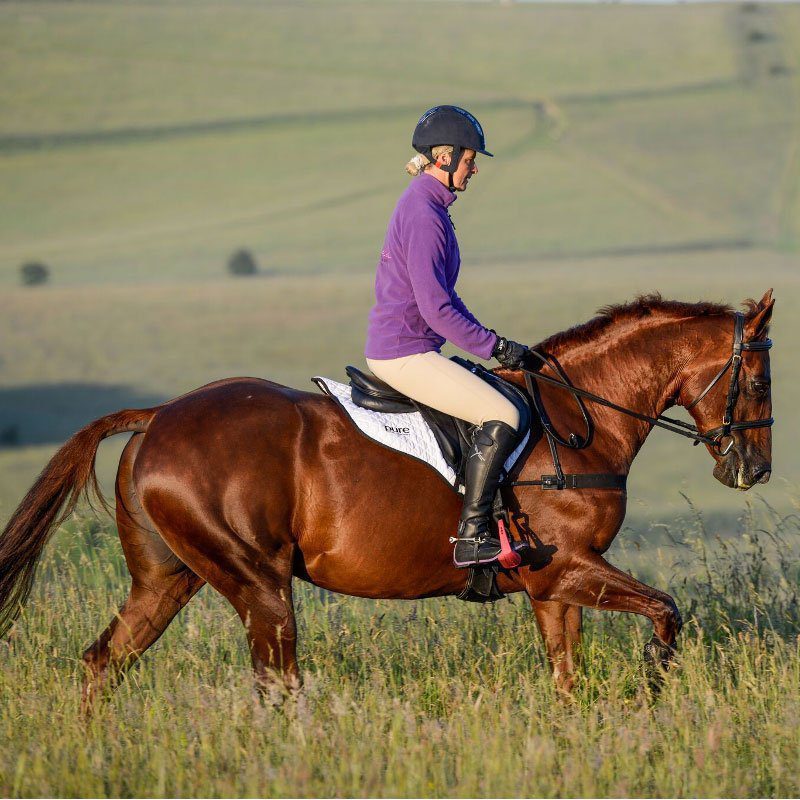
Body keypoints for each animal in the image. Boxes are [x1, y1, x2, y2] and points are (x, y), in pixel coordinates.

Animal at [0, 291, 774, 710]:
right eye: (762, 380)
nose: (755, 469)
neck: (576, 418)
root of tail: (158, 416)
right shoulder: (566, 568)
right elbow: (666, 613)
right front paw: (650, 690)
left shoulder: (551, 585)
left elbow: (566, 677)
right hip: (257, 582)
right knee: (276, 682)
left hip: (169, 578)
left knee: (104, 663)